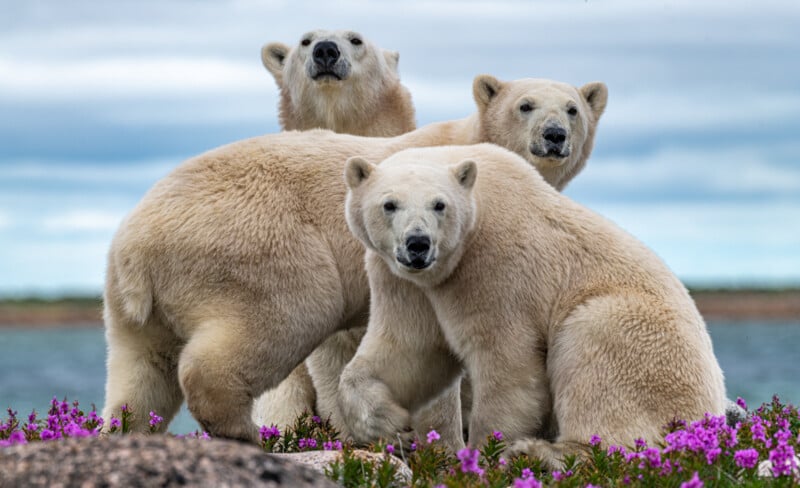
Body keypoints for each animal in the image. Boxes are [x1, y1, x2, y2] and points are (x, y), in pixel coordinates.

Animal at [103, 75, 608, 446]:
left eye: (572, 108)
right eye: (525, 105)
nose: (555, 135)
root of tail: (137, 244)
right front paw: (440, 444)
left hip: (130, 304)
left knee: (140, 371)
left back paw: (126, 428)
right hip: (262, 250)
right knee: (275, 320)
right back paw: (244, 431)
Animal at [340, 144, 728, 466]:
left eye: (440, 204)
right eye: (389, 204)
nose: (418, 244)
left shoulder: (495, 267)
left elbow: (508, 362)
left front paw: (484, 452)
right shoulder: (402, 280)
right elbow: (409, 348)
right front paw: (387, 423)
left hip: (638, 335)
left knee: (595, 354)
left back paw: (543, 452)